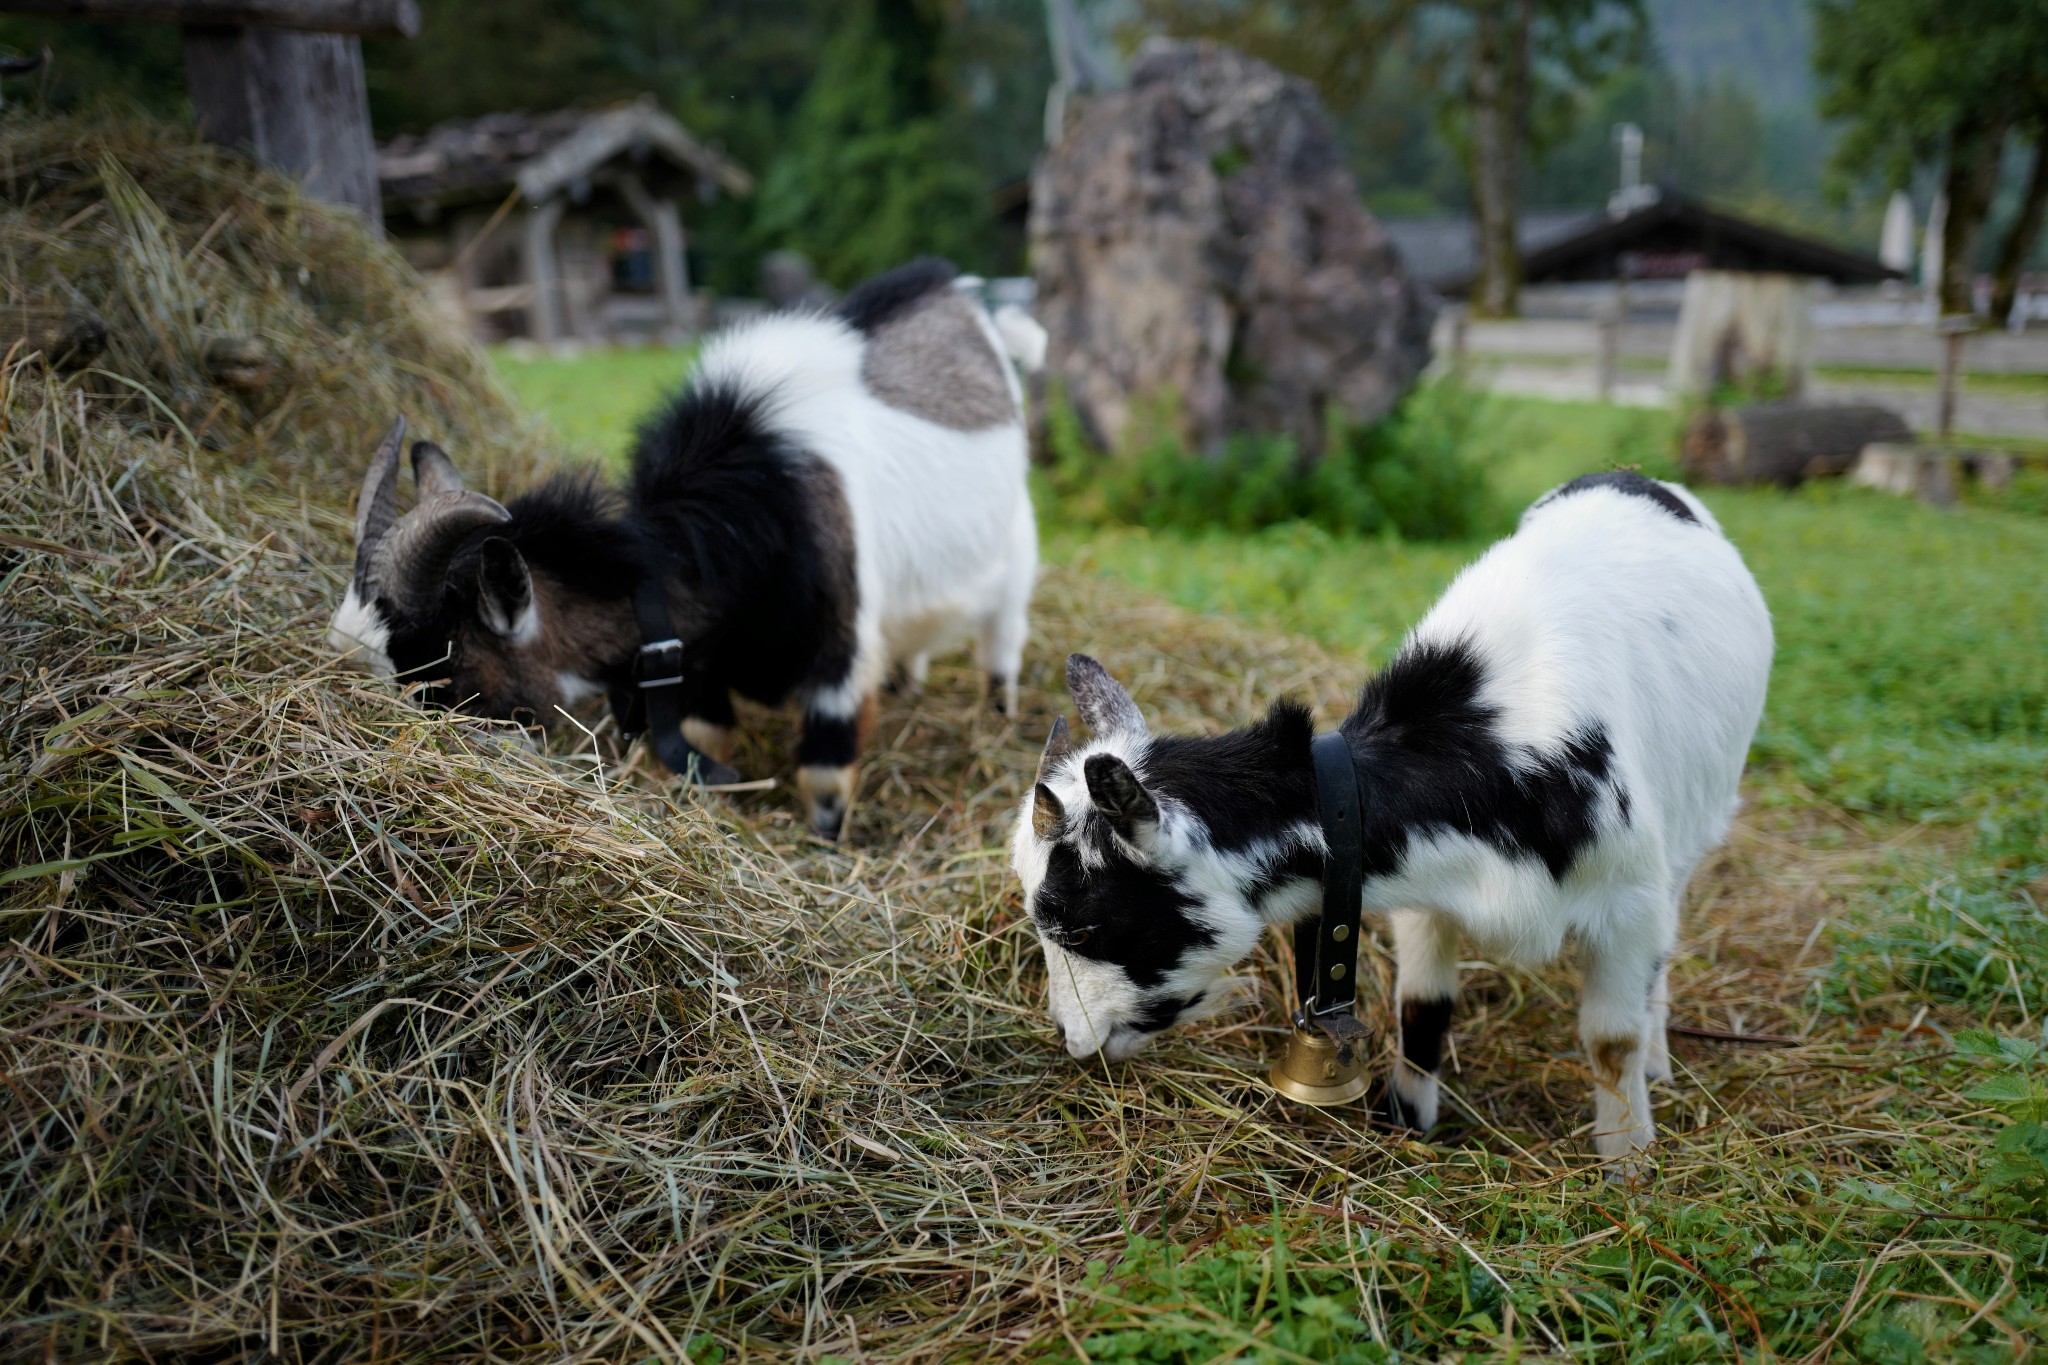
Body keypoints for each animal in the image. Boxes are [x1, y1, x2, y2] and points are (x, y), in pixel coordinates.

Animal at [335, 254, 1048, 834]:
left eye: (444, 669)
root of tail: (962, 293)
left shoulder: (838, 655)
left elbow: (824, 779)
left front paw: (827, 847)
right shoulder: (703, 663)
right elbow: (709, 743)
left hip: (1017, 550)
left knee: (1003, 643)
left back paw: (1001, 716)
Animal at [1015, 474, 1769, 1162]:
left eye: (1080, 924)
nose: (1068, 1038)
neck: (1479, 758)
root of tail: (1636, 476)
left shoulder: (1628, 902)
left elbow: (1613, 1038)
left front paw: (1627, 1164)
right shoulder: (1426, 896)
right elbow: (1423, 1009)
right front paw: (1407, 1122)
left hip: (1688, 841)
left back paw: (1659, 1062)